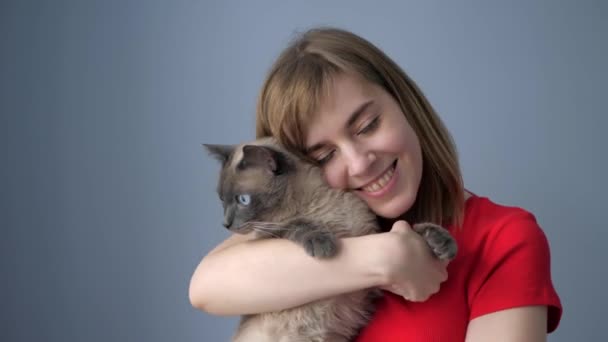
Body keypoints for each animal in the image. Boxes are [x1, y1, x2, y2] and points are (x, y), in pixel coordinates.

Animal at [204, 137, 456, 342]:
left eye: (242, 200)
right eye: (222, 200)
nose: (225, 224)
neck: (320, 206)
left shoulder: (372, 239)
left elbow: (412, 229)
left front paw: (442, 242)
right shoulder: (272, 234)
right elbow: (296, 225)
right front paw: (324, 244)